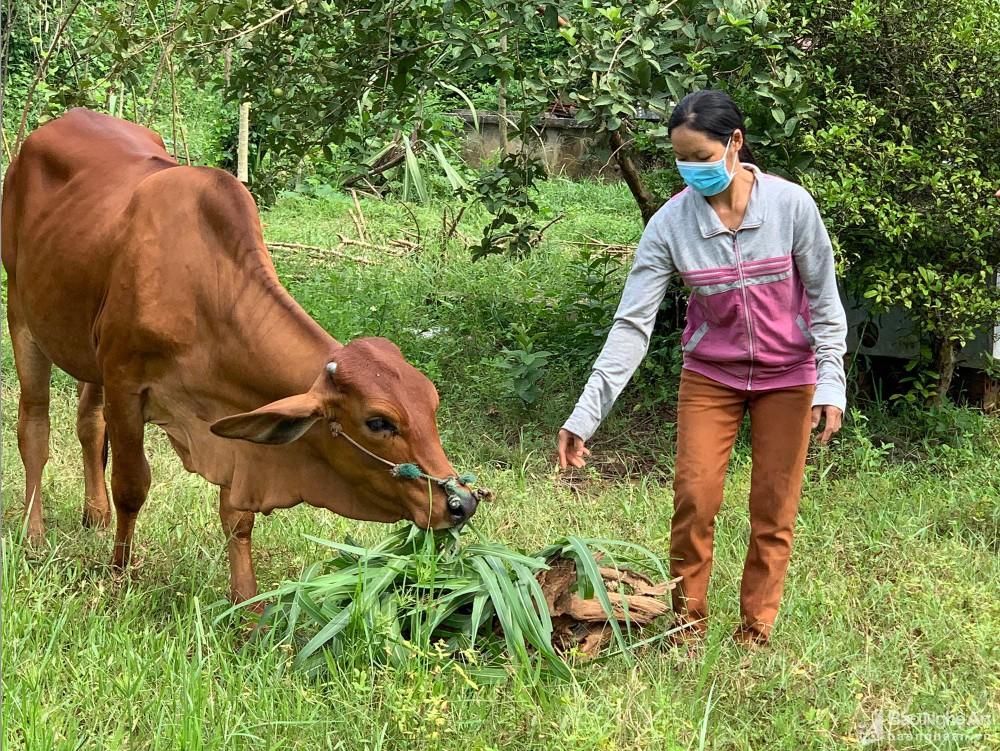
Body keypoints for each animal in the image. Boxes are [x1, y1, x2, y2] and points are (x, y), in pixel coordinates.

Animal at [3, 108, 480, 604]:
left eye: (432, 406)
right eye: (379, 422)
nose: (462, 503)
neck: (203, 287)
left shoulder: (232, 417)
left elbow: (237, 516)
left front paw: (246, 603)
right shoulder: (125, 383)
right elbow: (132, 486)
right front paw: (119, 576)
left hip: (86, 348)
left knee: (89, 424)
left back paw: (94, 516)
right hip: (22, 313)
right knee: (34, 428)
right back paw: (33, 533)